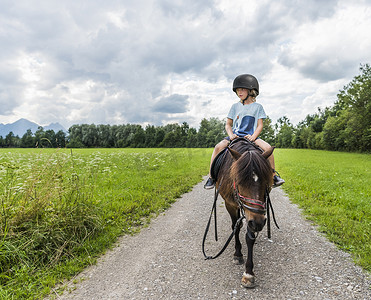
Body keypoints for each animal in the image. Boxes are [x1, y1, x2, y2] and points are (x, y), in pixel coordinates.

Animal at [217, 137, 274, 288]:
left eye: (266, 181)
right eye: (239, 181)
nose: (258, 223)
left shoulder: (254, 215)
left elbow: (250, 237)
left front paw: (248, 273)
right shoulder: (230, 205)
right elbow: (236, 228)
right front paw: (237, 254)